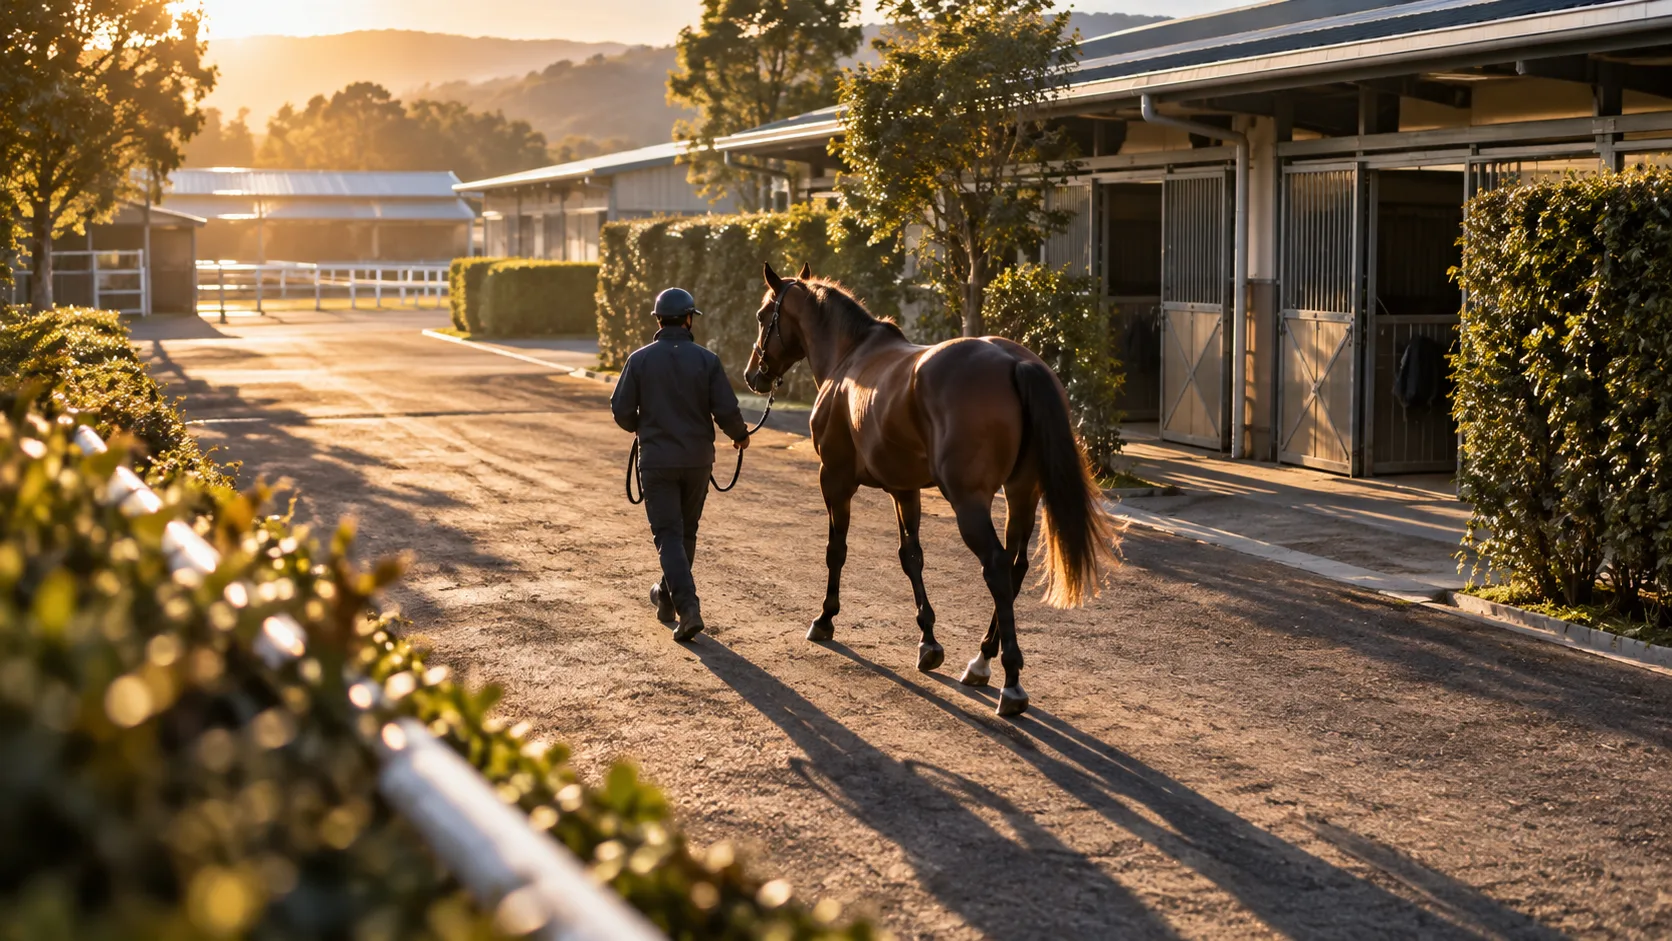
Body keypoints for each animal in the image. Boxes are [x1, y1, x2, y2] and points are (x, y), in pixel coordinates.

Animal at [744, 262, 1119, 717]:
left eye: (763, 316)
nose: (752, 375)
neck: (849, 358)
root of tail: (1016, 362)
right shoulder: (905, 489)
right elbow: (912, 558)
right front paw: (928, 643)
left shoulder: (833, 478)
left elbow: (837, 550)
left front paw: (825, 619)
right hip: (1021, 494)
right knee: (1014, 567)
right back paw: (981, 660)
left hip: (969, 502)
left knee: (996, 567)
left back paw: (1010, 682)